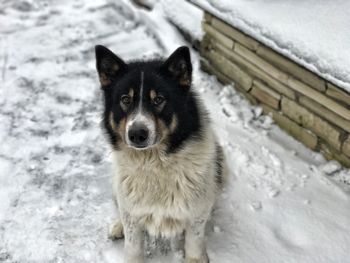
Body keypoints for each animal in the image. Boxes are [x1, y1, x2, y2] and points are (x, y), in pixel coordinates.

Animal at [94, 45, 228, 263]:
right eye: (125, 99)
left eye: (158, 99)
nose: (137, 134)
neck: (154, 164)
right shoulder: (133, 214)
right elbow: (133, 245)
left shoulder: (197, 212)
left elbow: (194, 240)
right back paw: (118, 225)